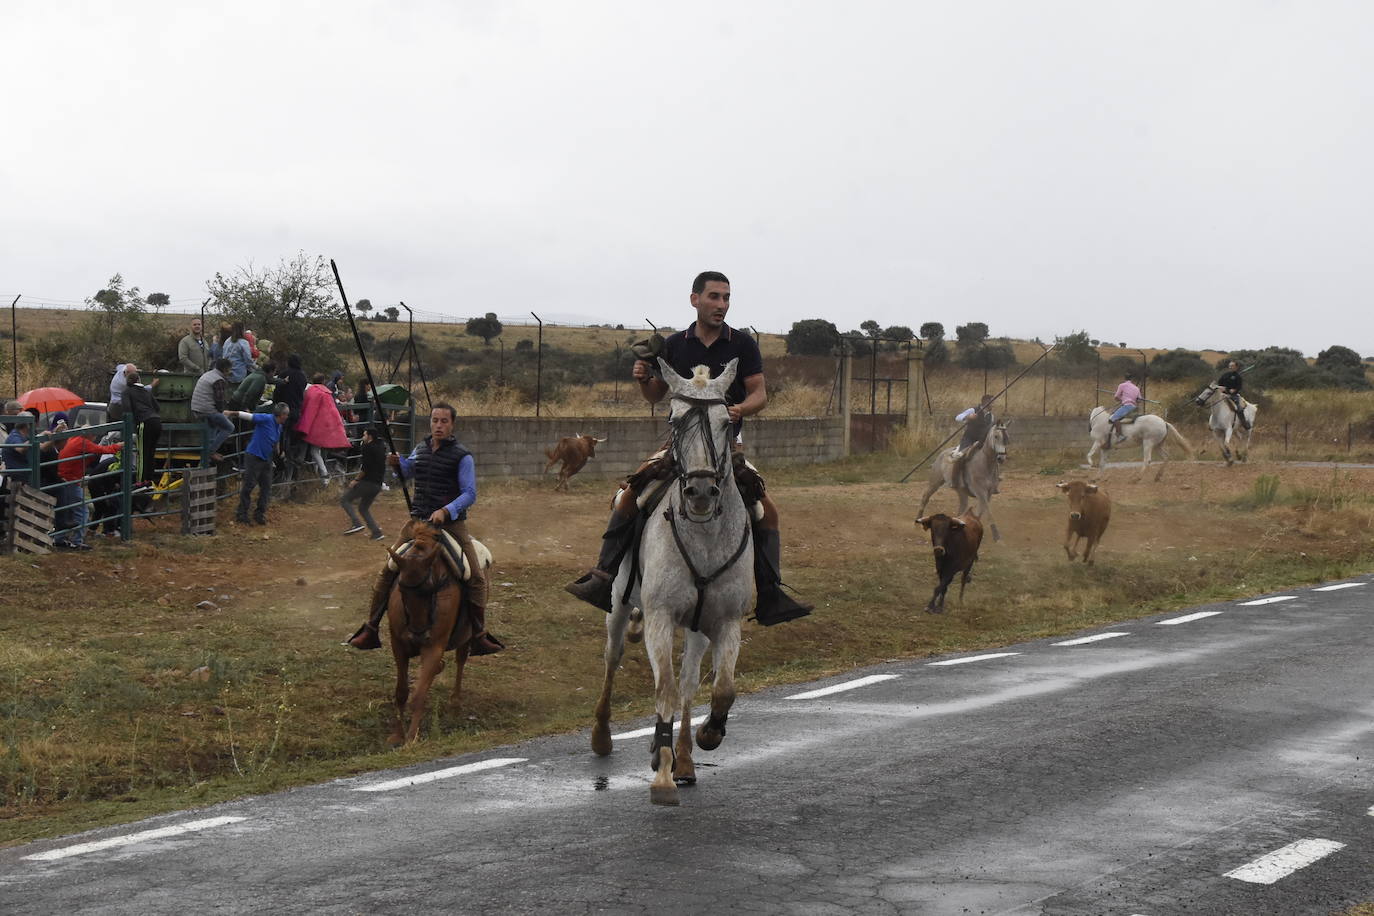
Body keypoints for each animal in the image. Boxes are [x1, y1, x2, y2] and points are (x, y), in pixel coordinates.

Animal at [384, 521, 475, 747]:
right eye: (401, 588)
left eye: (429, 589)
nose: (418, 633)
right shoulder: (398, 645)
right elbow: (401, 691)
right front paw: (397, 734)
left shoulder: (434, 646)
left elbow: (419, 695)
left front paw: (411, 737)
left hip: (466, 634)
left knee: (461, 660)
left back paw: (455, 702)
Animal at [588, 357, 752, 807]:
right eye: (674, 419)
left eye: (726, 422)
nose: (700, 492)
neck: (704, 537)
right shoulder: (659, 616)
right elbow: (664, 689)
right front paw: (661, 777)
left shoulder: (724, 621)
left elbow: (720, 689)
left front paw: (708, 735)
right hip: (619, 606)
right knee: (611, 659)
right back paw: (602, 736)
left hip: (696, 627)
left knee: (690, 683)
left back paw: (685, 760)